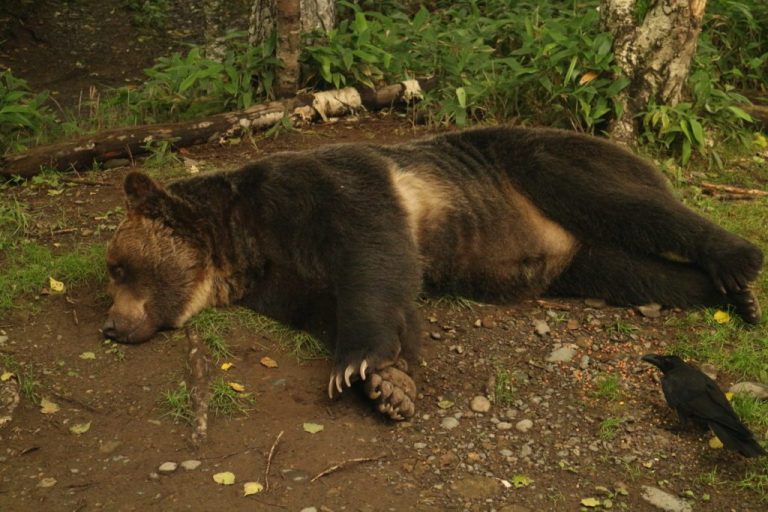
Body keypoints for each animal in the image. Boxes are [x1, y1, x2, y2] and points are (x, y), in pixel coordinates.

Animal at [100, 125, 760, 420]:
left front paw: (356, 364)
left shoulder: (323, 189)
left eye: (117, 267)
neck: (238, 241)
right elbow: (337, 301)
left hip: (541, 163)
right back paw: (729, 295)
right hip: (581, 262)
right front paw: (389, 384)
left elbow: (371, 253)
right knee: (639, 274)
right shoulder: (280, 275)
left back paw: (739, 261)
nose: (110, 325)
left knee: (628, 204)